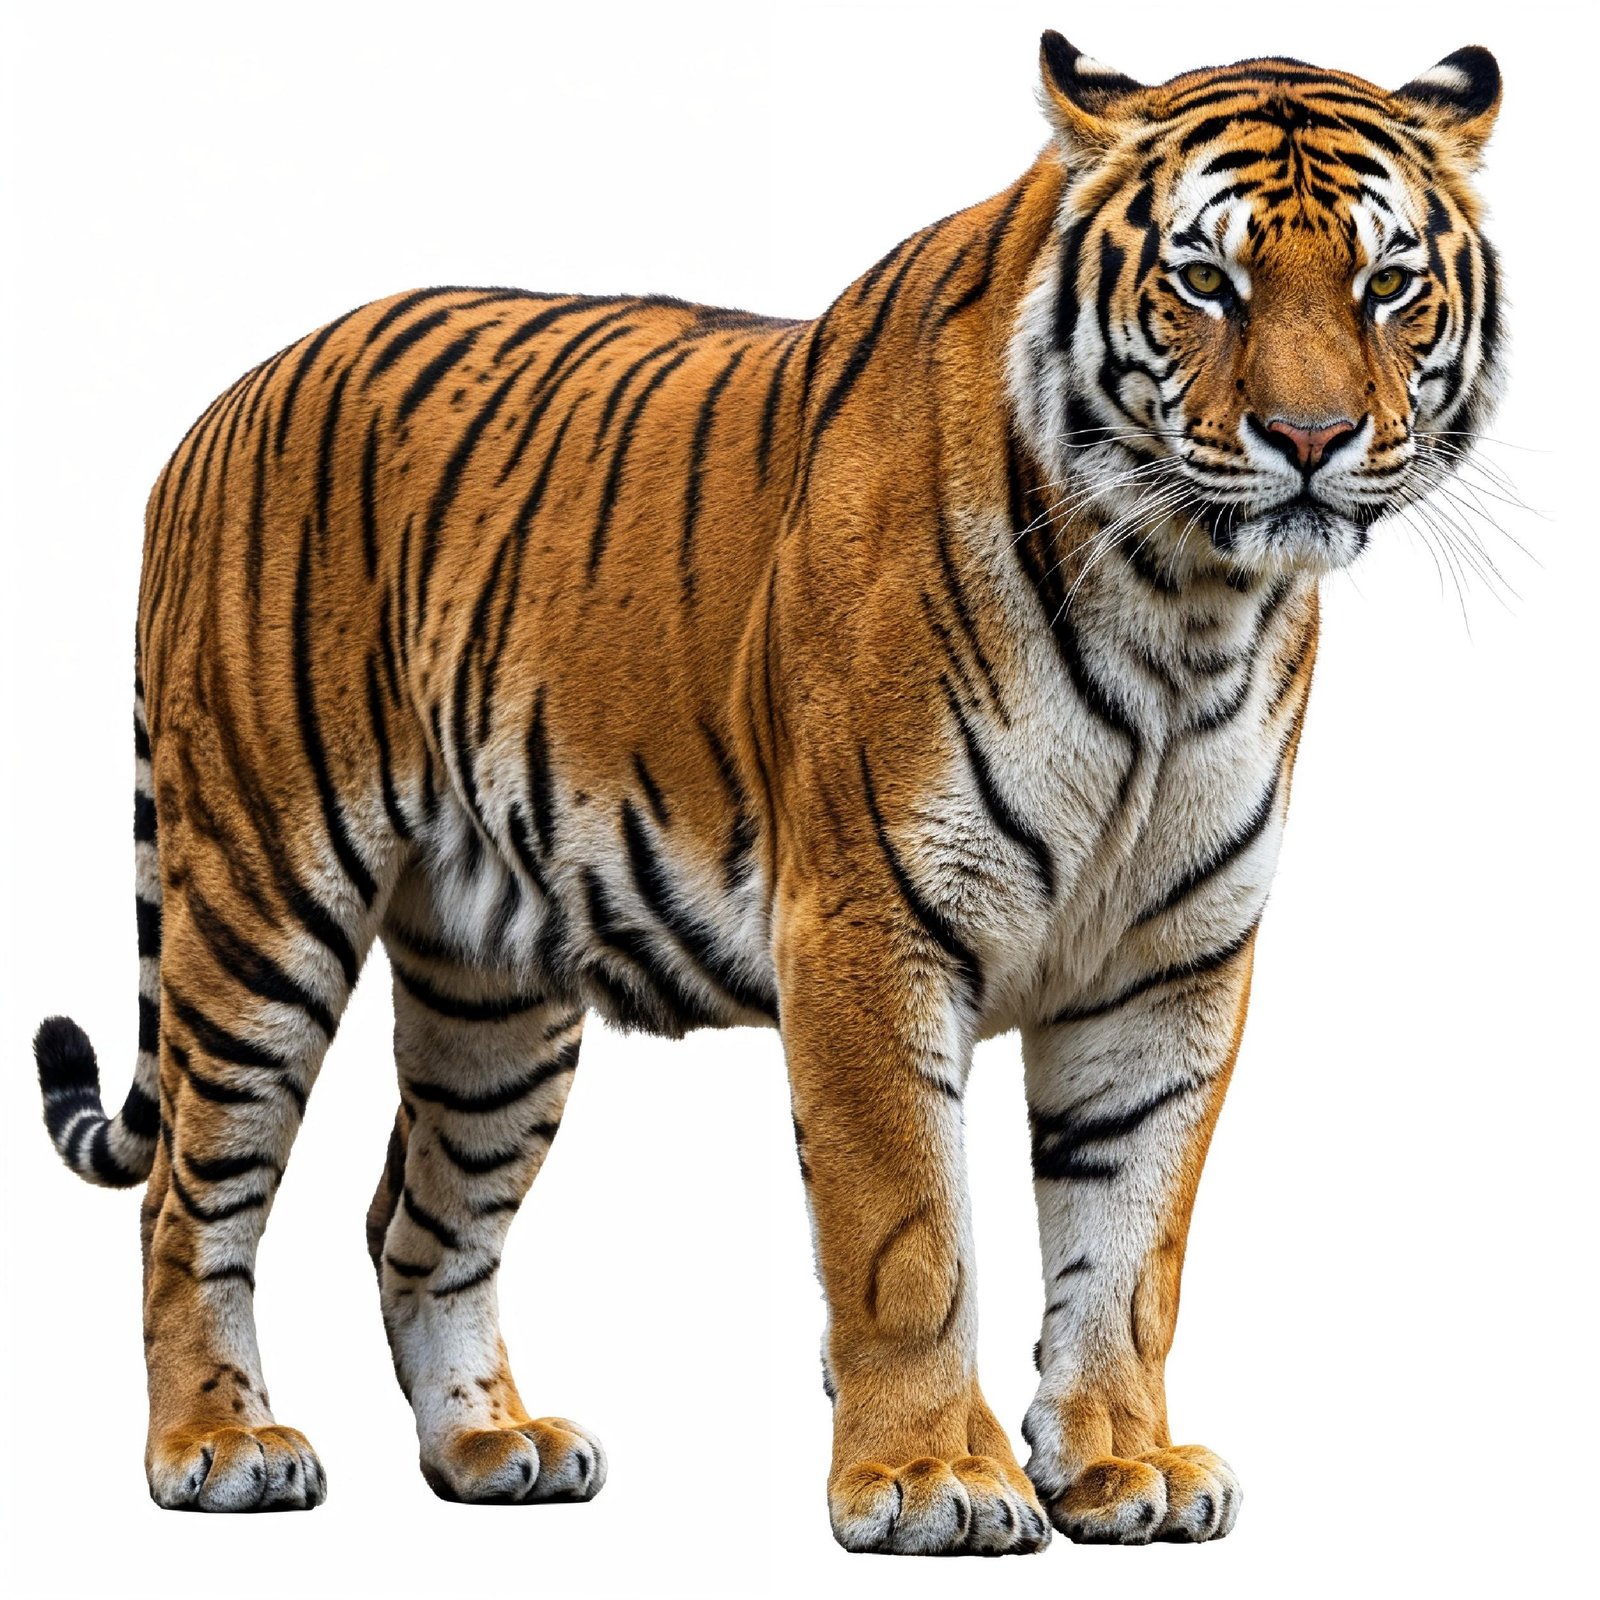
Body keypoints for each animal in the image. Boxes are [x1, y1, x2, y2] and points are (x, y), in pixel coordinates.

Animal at [32, 30, 1503, 1552]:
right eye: (1207, 281)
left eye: (1387, 285)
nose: (1311, 437)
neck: (1185, 603)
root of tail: (226, 402)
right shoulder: (870, 920)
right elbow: (909, 1234)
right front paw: (927, 1478)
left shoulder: (1171, 961)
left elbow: (1130, 1238)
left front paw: (1120, 1463)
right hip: (260, 897)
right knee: (186, 1199)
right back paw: (218, 1446)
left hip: (492, 987)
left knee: (415, 1219)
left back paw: (492, 1445)